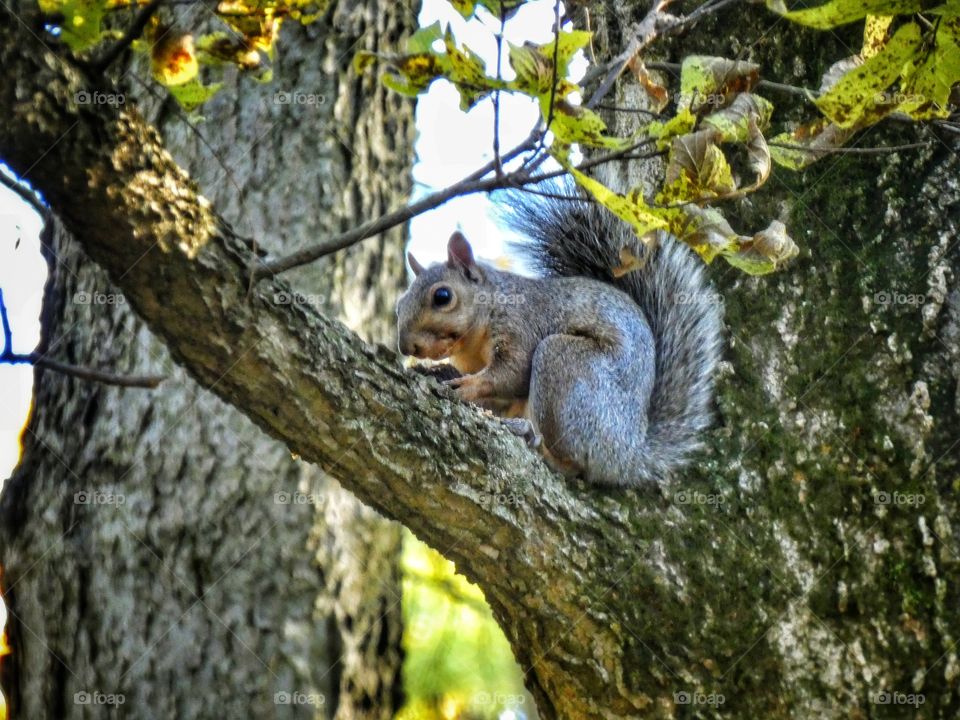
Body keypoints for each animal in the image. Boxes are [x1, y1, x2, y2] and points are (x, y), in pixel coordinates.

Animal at [396, 188, 720, 486]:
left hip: (565, 366)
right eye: (399, 305)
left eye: (442, 296)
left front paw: (466, 385)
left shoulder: (523, 326)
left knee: (576, 465)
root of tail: (628, 457)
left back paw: (535, 441)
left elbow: (511, 373)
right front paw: (438, 371)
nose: (405, 346)